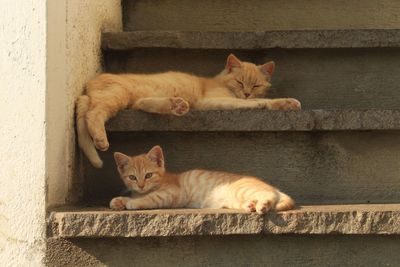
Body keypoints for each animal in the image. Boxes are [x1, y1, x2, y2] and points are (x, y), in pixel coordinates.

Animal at [76, 53, 300, 169]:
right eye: (239, 82)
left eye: (256, 85)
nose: (246, 93)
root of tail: (89, 84)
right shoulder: (211, 101)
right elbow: (253, 103)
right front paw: (278, 102)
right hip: (116, 95)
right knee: (93, 113)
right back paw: (101, 139)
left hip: (129, 99)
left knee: (142, 103)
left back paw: (177, 105)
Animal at [109, 146, 294, 215]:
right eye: (132, 177)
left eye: (148, 175)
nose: (141, 185)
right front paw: (119, 200)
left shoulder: (172, 192)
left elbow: (150, 198)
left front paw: (133, 202)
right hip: (234, 200)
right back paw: (251, 205)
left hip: (243, 189)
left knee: (269, 196)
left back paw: (263, 205)